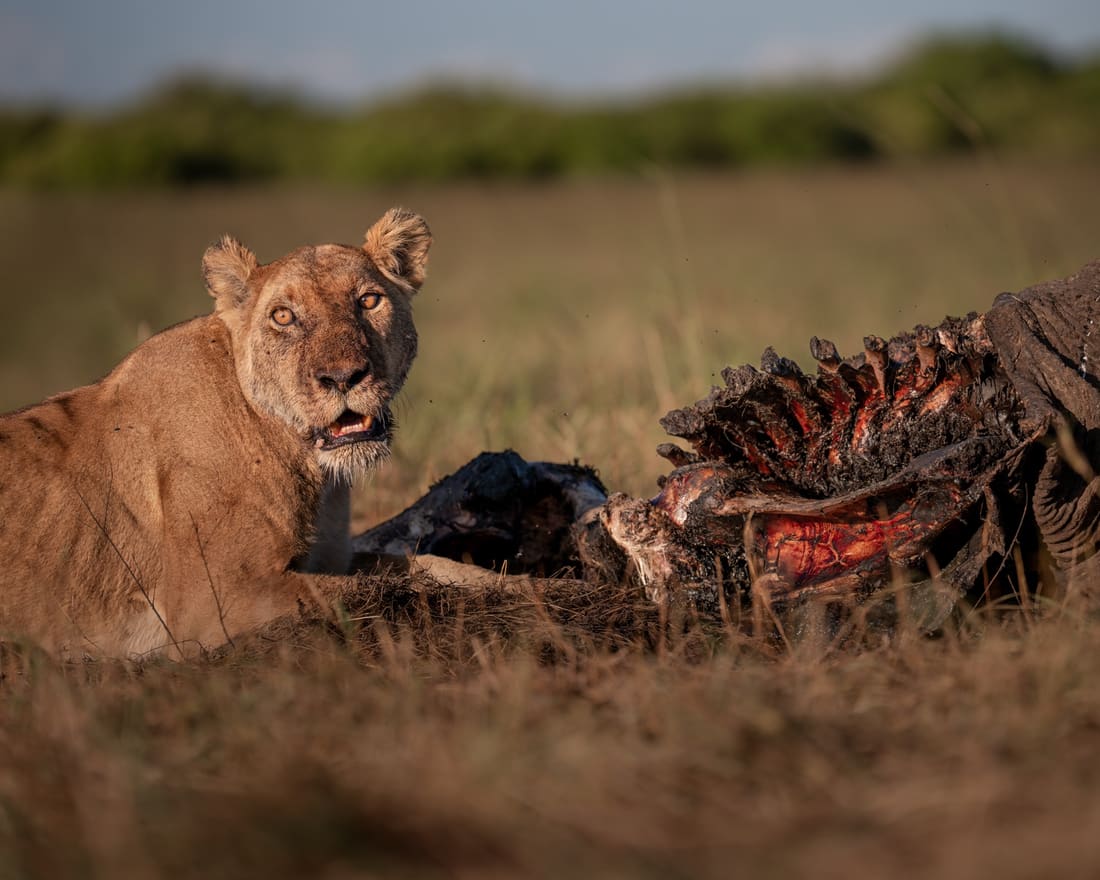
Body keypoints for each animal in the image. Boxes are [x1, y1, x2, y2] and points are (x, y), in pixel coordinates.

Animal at [0, 208, 431, 659]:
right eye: (283, 316)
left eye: (368, 300)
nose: (343, 377)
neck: (310, 463)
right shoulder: (214, 599)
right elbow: (368, 587)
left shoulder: (330, 559)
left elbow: (412, 565)